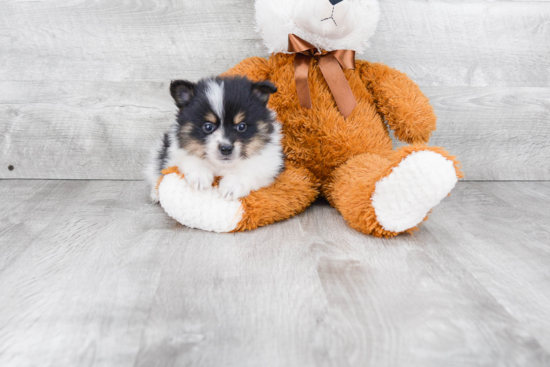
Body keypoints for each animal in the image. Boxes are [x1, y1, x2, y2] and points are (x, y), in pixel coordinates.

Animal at [147, 75, 284, 201]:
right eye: (208, 127)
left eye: (241, 126)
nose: (226, 149)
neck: (222, 165)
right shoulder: (174, 151)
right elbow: (190, 158)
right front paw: (200, 176)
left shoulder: (270, 163)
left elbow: (250, 170)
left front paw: (231, 186)